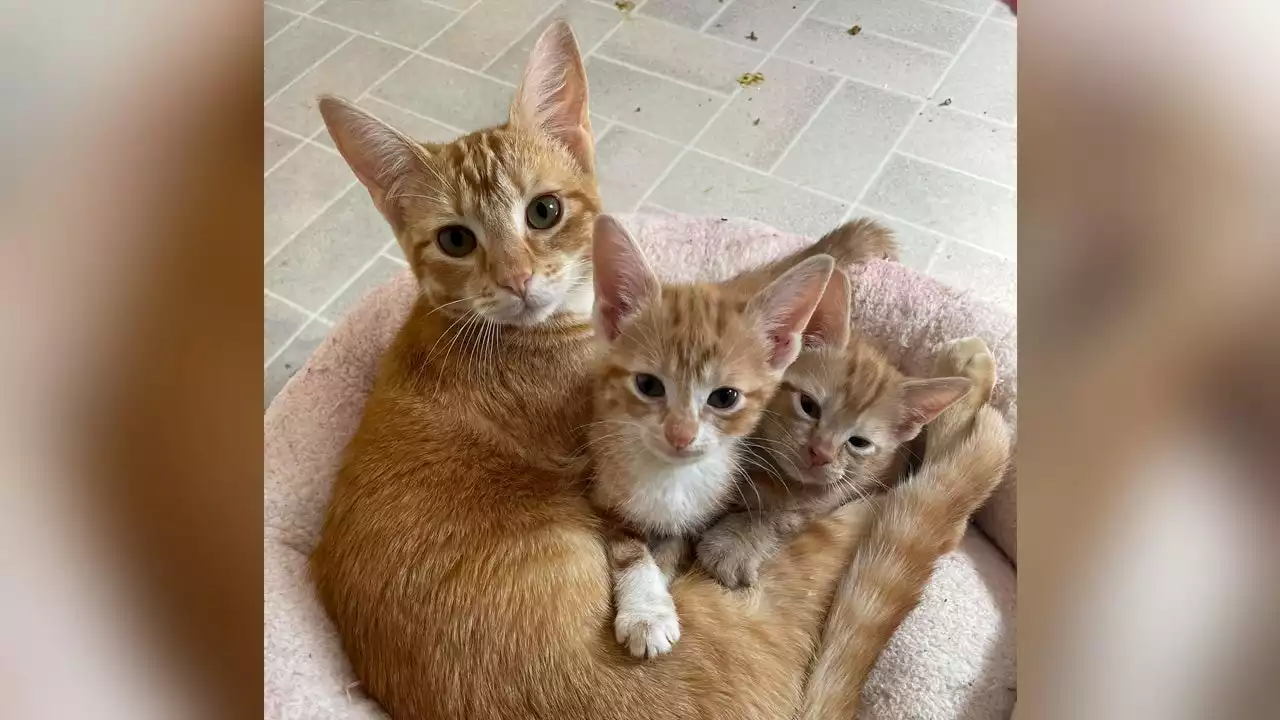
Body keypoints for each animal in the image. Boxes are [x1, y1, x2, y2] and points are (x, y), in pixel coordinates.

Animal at [586, 212, 834, 655]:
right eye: (648, 385)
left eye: (725, 396)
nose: (680, 434)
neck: (672, 478)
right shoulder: (603, 492)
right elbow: (631, 550)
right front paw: (646, 610)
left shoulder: (706, 513)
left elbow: (672, 549)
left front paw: (658, 595)